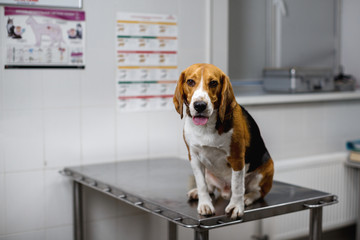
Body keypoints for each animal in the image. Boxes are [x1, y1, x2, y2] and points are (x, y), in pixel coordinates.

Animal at [173, 63, 274, 219]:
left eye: (213, 83)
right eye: (190, 82)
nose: (200, 105)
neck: (206, 127)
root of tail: (225, 191)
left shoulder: (237, 158)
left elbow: (237, 185)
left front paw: (236, 206)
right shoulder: (194, 157)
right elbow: (201, 184)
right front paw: (205, 204)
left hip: (268, 168)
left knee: (257, 192)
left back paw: (247, 198)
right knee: (209, 186)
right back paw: (199, 193)